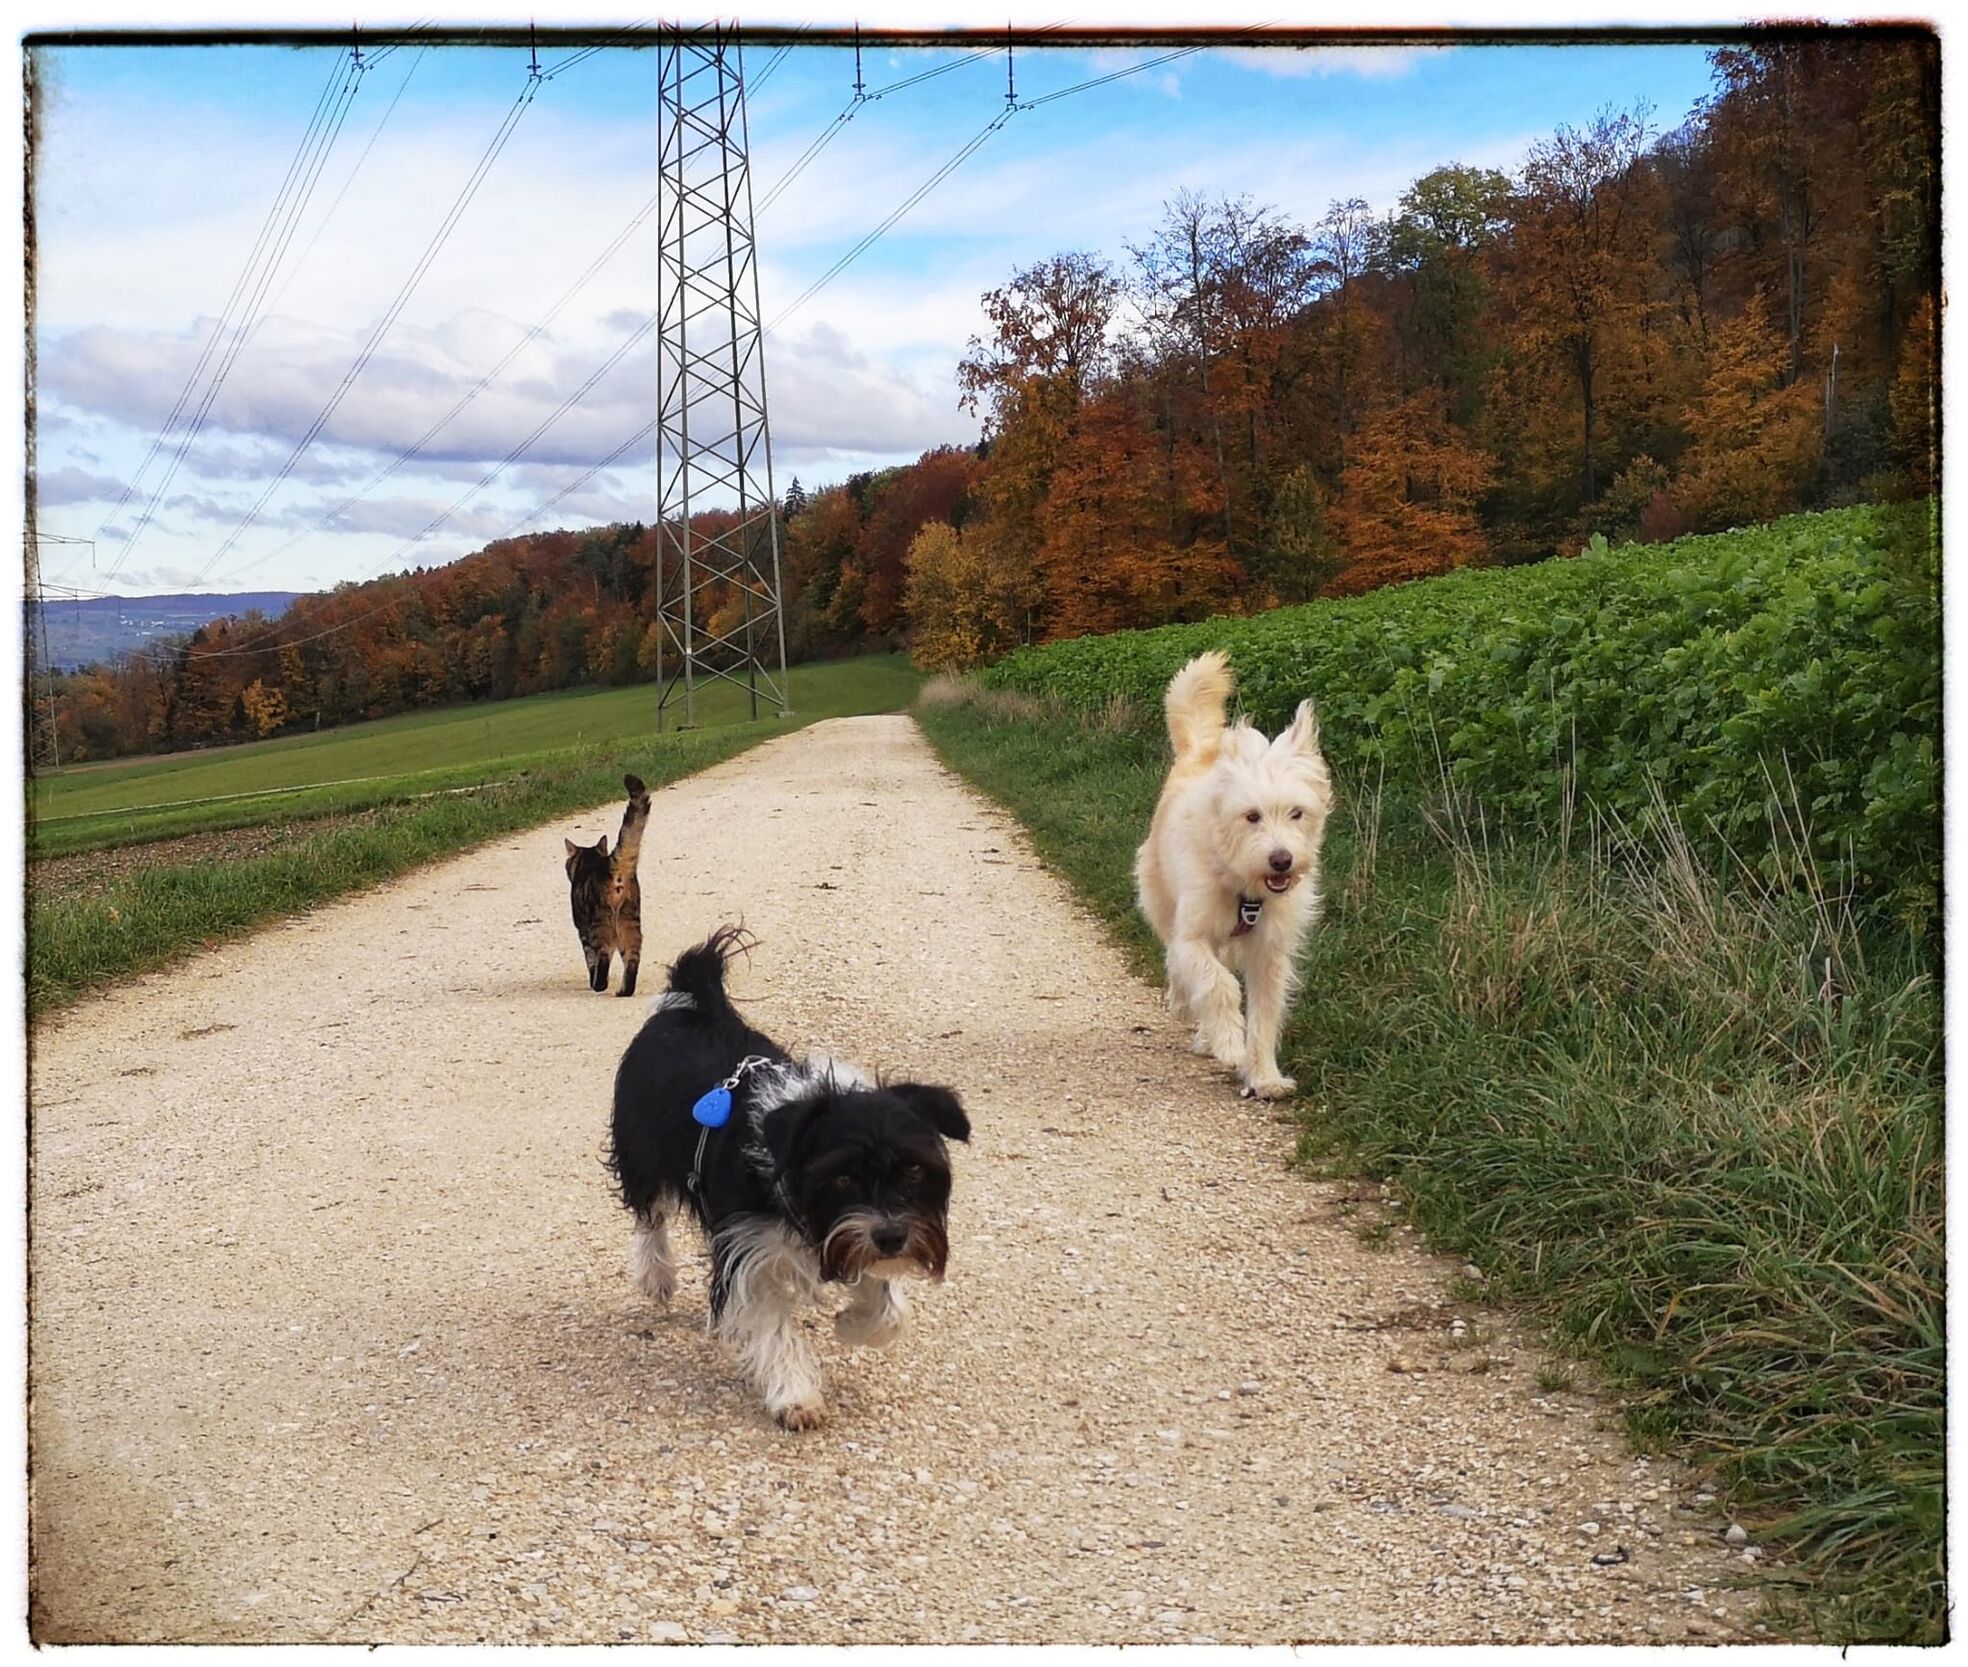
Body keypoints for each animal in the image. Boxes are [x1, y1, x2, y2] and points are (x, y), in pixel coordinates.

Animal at [564, 773, 652, 996]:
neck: (590, 860)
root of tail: (614, 865)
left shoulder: (583, 930)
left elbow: (592, 960)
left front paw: (594, 980)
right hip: (630, 919)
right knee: (633, 958)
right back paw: (624, 991)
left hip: (600, 922)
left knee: (602, 954)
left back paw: (599, 986)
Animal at [608, 928, 971, 1431]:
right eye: (841, 1178)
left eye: (914, 1169)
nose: (892, 1237)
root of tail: (691, 1006)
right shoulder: (747, 1252)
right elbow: (772, 1327)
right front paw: (796, 1396)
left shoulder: (850, 1236)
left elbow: (889, 1307)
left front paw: (854, 1323)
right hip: (641, 1151)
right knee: (649, 1215)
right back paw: (656, 1275)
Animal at [1135, 650, 1334, 1100]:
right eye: (1252, 816)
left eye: (1297, 813)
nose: (1281, 860)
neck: (1243, 883)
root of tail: (1197, 753)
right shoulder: (1192, 936)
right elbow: (1218, 984)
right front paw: (1229, 1044)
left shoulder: (1270, 952)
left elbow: (1264, 1014)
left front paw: (1264, 1076)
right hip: (1161, 903)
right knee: (1180, 964)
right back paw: (1191, 1014)